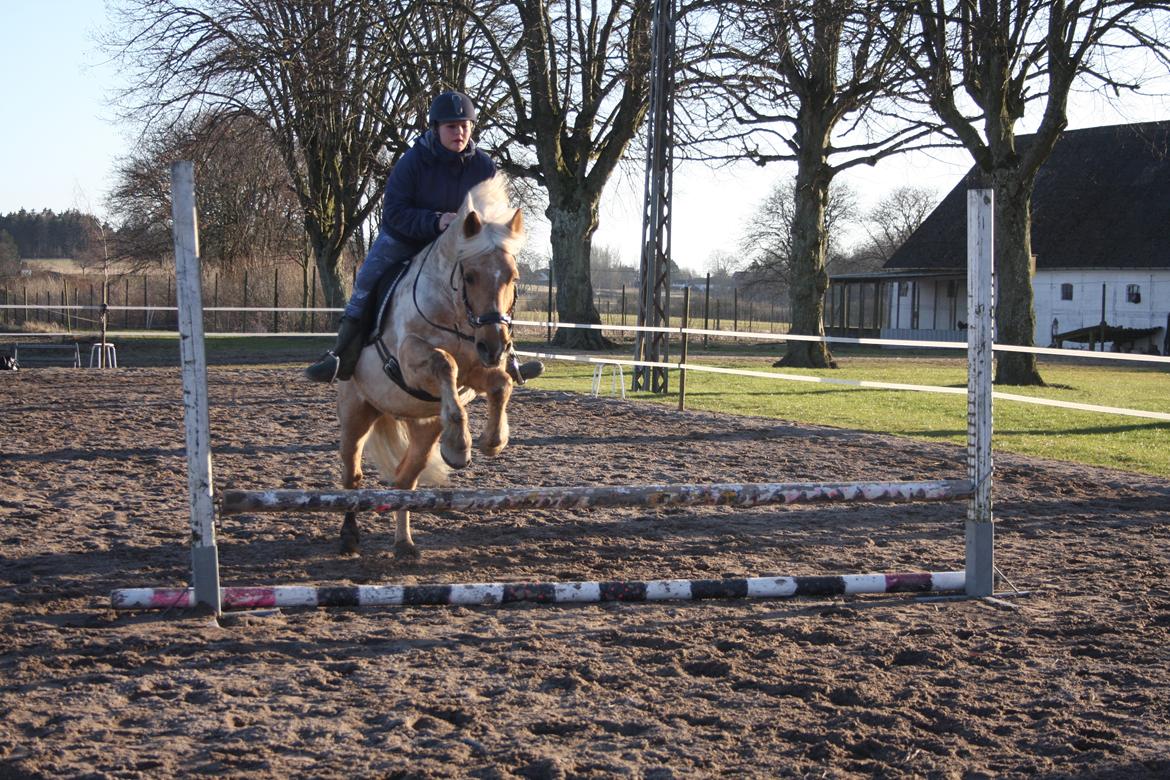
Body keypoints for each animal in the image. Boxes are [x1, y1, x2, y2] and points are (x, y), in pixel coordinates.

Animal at [334, 174, 526, 558]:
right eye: (470, 276)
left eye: (513, 277)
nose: (495, 345)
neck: (455, 314)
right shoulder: (411, 361)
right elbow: (443, 362)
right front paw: (459, 447)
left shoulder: (474, 372)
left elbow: (500, 384)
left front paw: (491, 441)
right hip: (356, 413)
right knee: (352, 475)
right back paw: (349, 536)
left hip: (423, 427)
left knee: (405, 479)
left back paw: (404, 543)